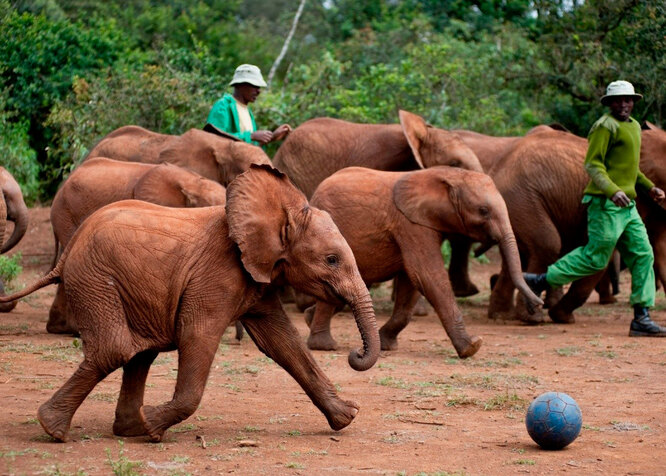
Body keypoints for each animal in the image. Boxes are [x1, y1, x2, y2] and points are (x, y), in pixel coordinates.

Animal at [304, 166, 544, 356]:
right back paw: (324, 346)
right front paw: (471, 347)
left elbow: (411, 283)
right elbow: (427, 275)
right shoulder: (411, 224)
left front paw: (386, 345)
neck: (448, 175)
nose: (538, 305)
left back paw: (308, 318)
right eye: (483, 211)